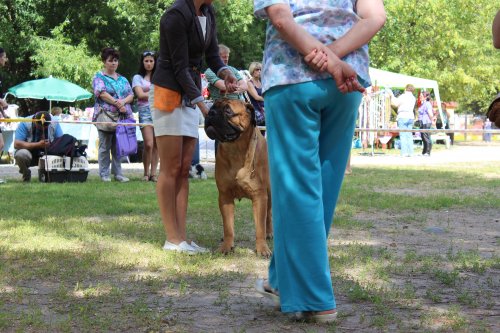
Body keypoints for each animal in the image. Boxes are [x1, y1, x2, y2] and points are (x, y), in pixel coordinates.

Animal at [204, 97, 274, 255]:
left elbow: (260, 227)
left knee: (268, 215)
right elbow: (228, 226)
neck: (235, 150)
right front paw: (226, 246)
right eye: (212, 107)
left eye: (228, 111)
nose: (210, 113)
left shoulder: (260, 196)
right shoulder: (225, 196)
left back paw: (269, 233)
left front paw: (262, 248)